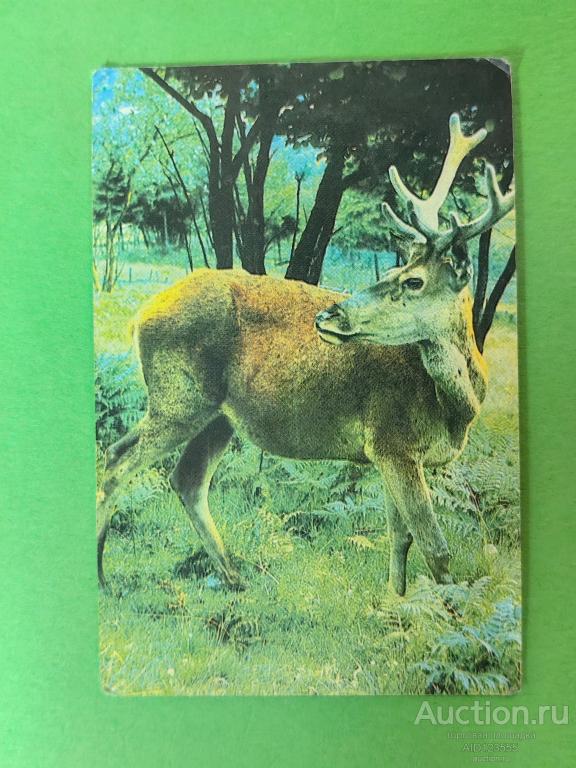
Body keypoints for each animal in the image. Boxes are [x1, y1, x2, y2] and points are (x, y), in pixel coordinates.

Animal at [96, 113, 514, 596]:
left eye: (414, 281)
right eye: (395, 269)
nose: (328, 315)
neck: (457, 407)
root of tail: (139, 315)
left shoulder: (392, 453)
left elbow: (400, 538)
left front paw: (395, 601)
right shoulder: (391, 440)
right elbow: (436, 548)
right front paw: (443, 608)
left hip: (218, 415)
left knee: (185, 478)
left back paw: (234, 576)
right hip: (178, 397)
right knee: (118, 460)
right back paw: (104, 577)